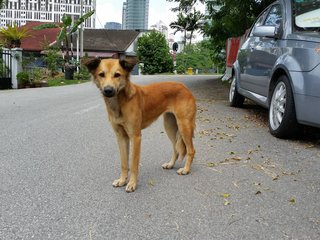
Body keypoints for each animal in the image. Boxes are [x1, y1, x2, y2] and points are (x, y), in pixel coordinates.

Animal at [84, 58, 195, 193]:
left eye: (117, 75)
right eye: (101, 74)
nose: (108, 90)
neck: (121, 102)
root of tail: (184, 87)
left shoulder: (136, 137)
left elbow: (133, 163)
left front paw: (132, 183)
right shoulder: (121, 137)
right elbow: (124, 163)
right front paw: (122, 180)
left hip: (184, 126)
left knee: (191, 150)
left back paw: (186, 169)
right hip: (170, 126)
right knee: (176, 148)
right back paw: (170, 164)